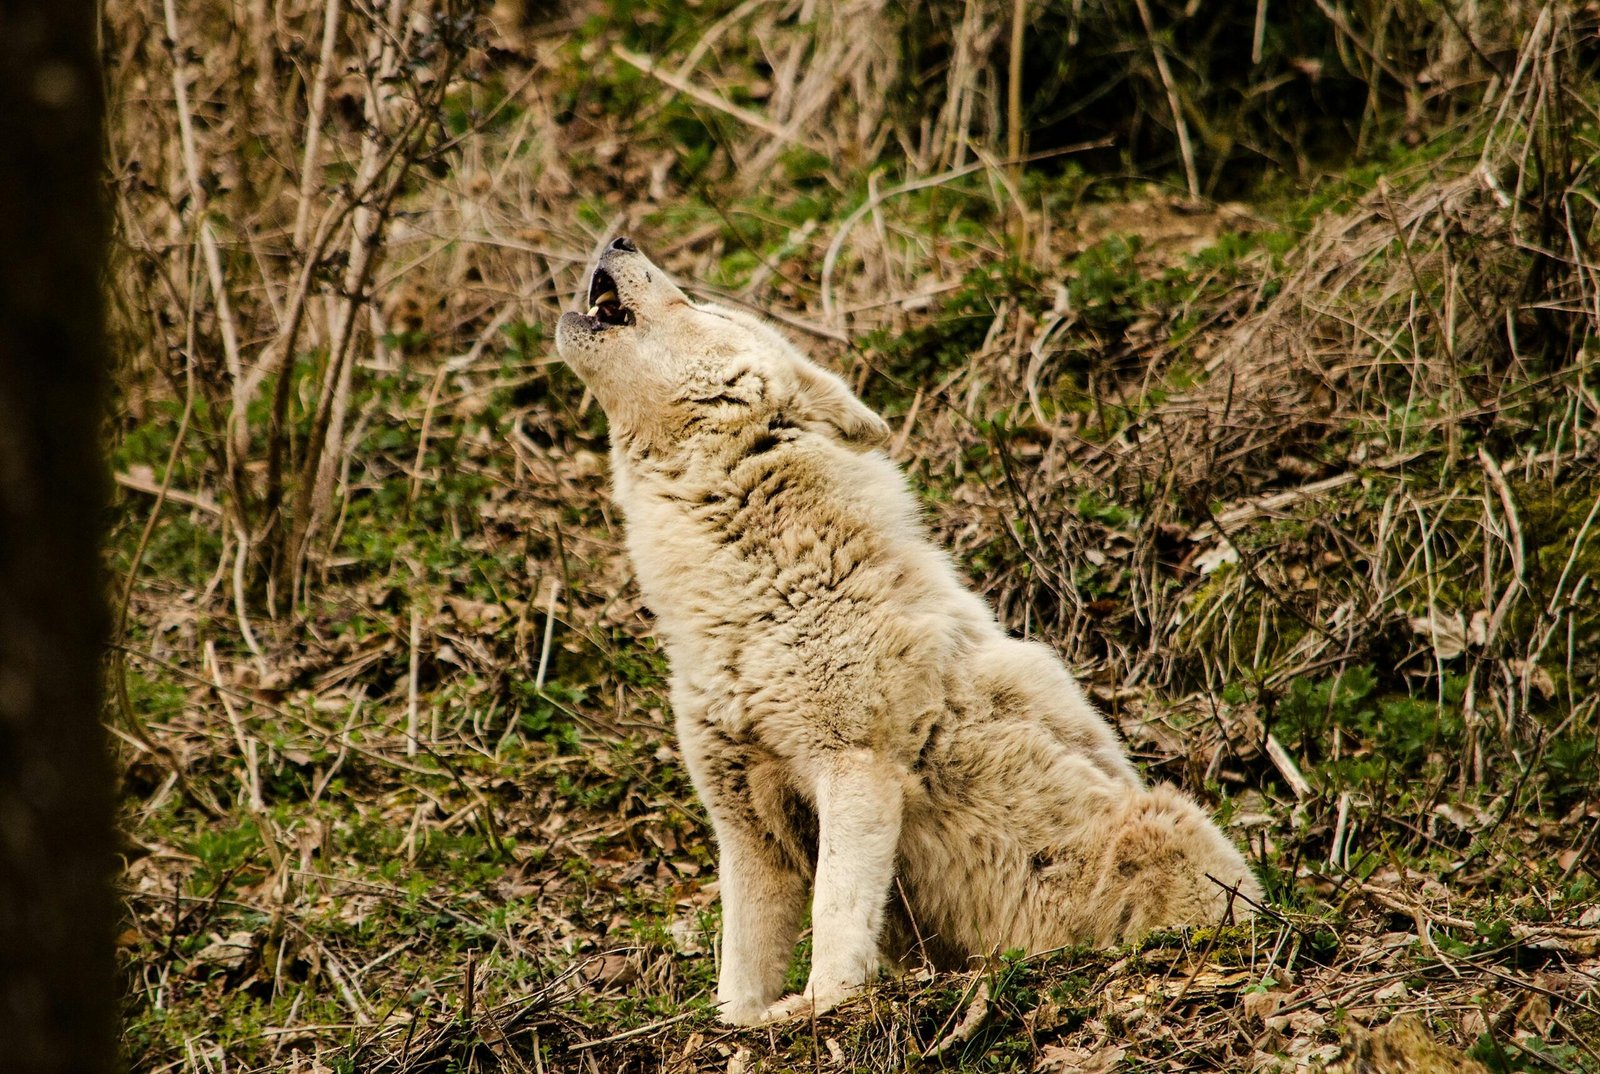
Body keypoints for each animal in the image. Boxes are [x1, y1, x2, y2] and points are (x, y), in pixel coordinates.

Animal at [556, 240, 1254, 1030]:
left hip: (1165, 821)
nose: (619, 241)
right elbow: (739, 968)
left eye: (706, 310)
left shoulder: (857, 767)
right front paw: (741, 1022)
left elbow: (834, 916)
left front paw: (824, 1004)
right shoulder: (746, 823)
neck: (750, 591)